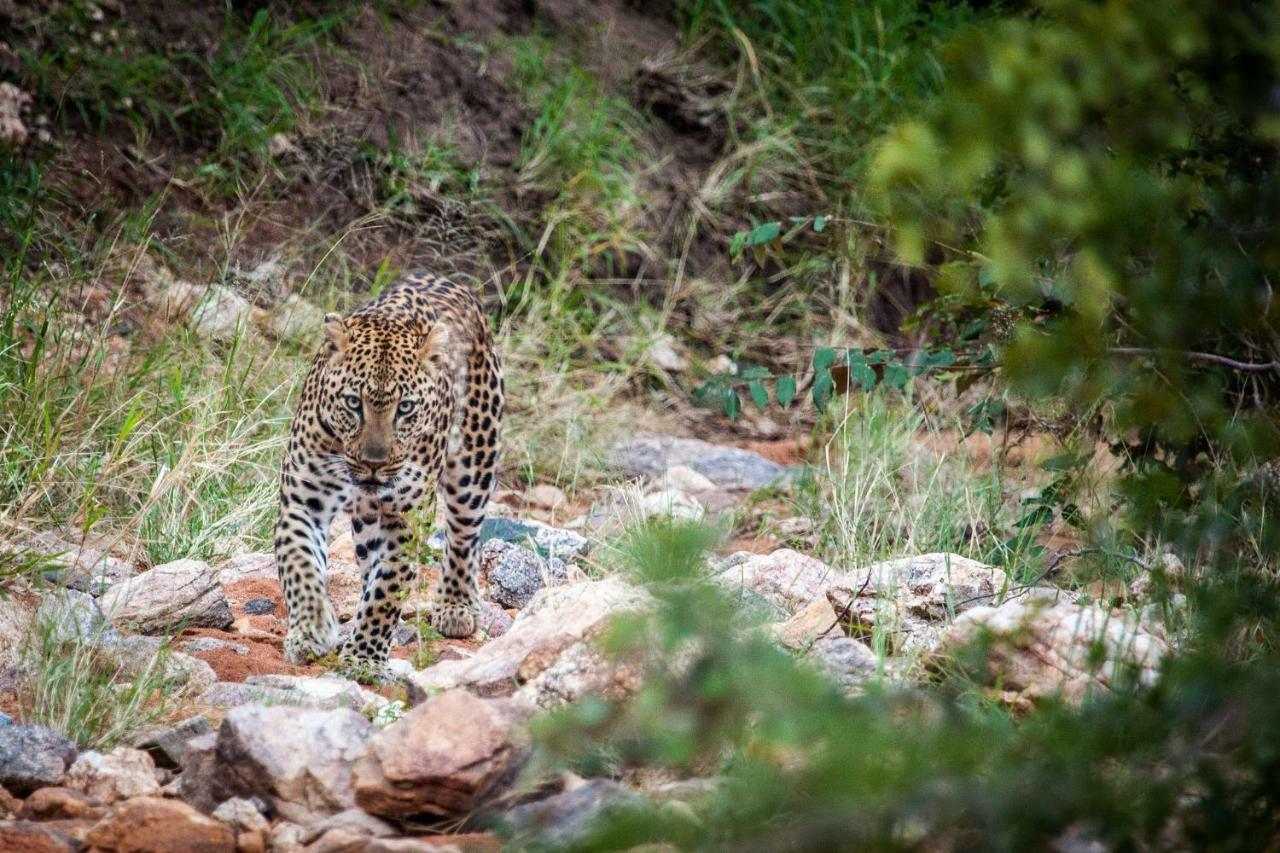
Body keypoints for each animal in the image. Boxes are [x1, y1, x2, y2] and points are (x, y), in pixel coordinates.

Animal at [275, 268, 504, 676]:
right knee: (368, 561)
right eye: (353, 402)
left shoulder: (405, 518)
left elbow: (389, 587)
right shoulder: (303, 501)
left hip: (474, 461)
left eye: (406, 408)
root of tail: (441, 277)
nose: (374, 463)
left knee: (464, 537)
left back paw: (456, 605)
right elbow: (298, 562)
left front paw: (365, 658)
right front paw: (311, 630)